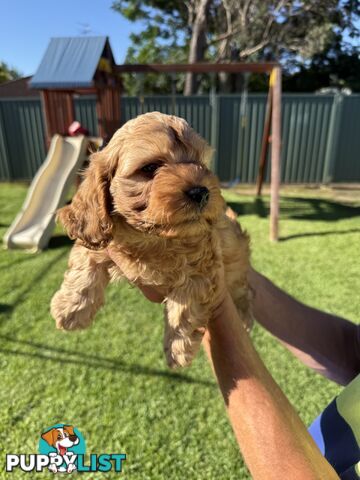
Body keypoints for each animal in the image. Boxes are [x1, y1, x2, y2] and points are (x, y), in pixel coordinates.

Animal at [51, 111, 253, 368]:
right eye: (150, 167)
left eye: (200, 163)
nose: (201, 192)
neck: (153, 237)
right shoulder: (97, 234)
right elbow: (84, 265)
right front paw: (70, 310)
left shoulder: (203, 264)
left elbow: (184, 305)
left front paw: (177, 348)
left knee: (244, 290)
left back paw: (245, 318)